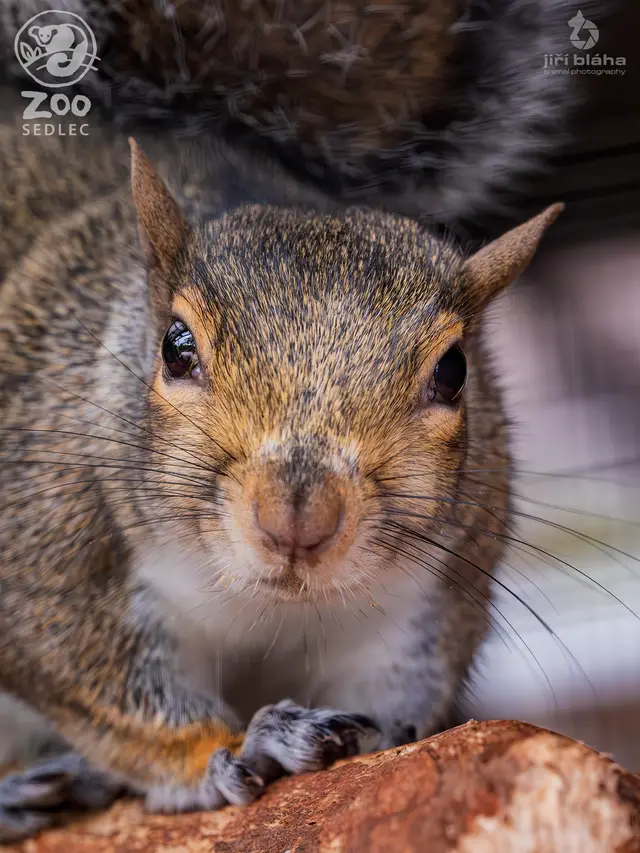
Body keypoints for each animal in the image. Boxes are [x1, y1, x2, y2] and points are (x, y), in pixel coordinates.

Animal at [0, 90, 563, 840]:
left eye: (453, 371)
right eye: (175, 346)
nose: (299, 517)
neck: (265, 607)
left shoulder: (427, 601)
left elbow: (393, 688)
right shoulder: (43, 545)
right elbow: (88, 674)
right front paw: (239, 746)